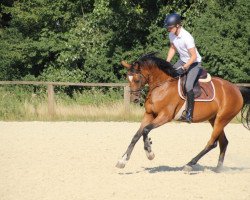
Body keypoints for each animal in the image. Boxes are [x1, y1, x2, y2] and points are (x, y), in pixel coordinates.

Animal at [116, 52, 250, 172]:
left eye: (137, 79)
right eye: (128, 78)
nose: (134, 99)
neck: (161, 86)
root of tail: (236, 89)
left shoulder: (165, 116)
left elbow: (145, 130)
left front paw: (150, 153)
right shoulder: (149, 115)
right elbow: (137, 135)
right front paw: (123, 161)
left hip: (222, 119)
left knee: (212, 143)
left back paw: (190, 164)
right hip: (214, 119)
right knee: (223, 142)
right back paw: (218, 168)